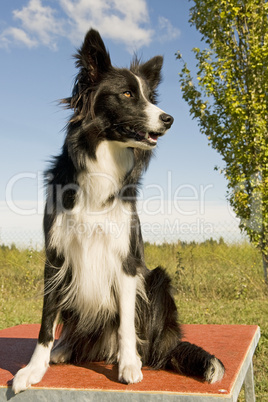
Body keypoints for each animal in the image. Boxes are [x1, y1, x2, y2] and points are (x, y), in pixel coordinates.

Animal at [12, 29, 224, 394]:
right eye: (126, 94)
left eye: (150, 97)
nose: (169, 119)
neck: (103, 161)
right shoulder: (55, 255)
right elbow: (46, 320)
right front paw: (34, 369)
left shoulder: (126, 260)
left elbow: (126, 322)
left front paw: (129, 364)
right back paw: (65, 349)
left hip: (157, 280)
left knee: (150, 345)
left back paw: (139, 355)